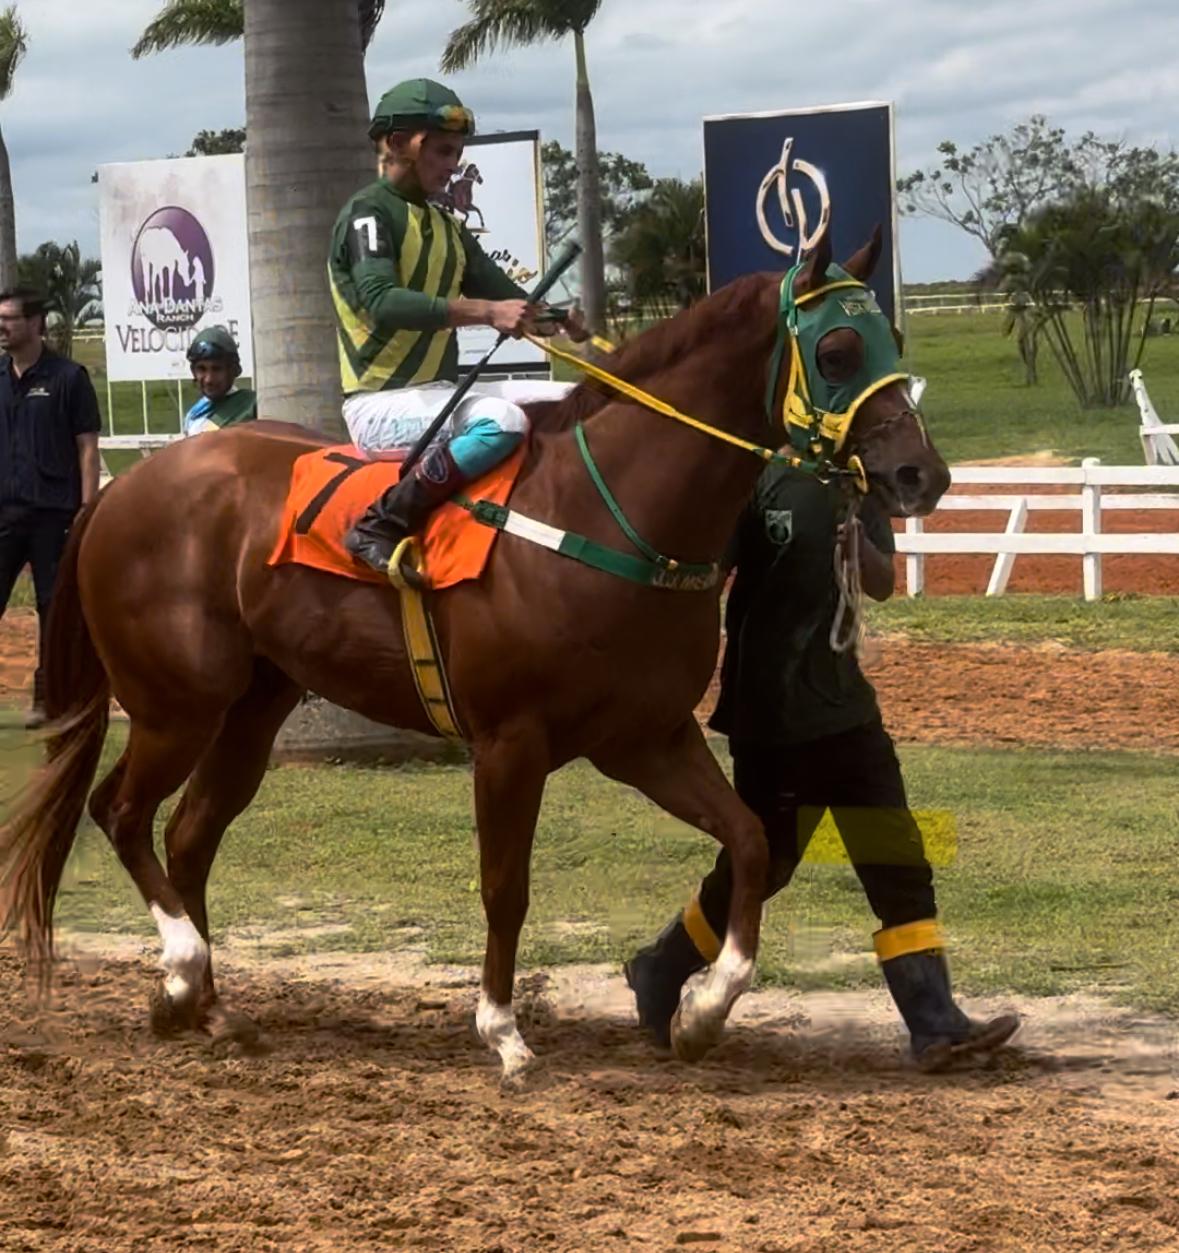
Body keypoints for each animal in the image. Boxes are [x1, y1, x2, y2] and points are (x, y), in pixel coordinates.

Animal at [0, 233, 947, 1077]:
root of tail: (126, 487)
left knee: (189, 834)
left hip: (252, 708)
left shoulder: (646, 737)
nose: (920, 476)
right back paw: (180, 971)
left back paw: (207, 1007)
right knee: (121, 812)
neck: (610, 511)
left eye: (894, 342)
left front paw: (704, 1011)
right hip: (176, 704)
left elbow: (748, 839)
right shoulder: (508, 743)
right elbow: (505, 885)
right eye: (834, 349)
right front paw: (503, 1031)